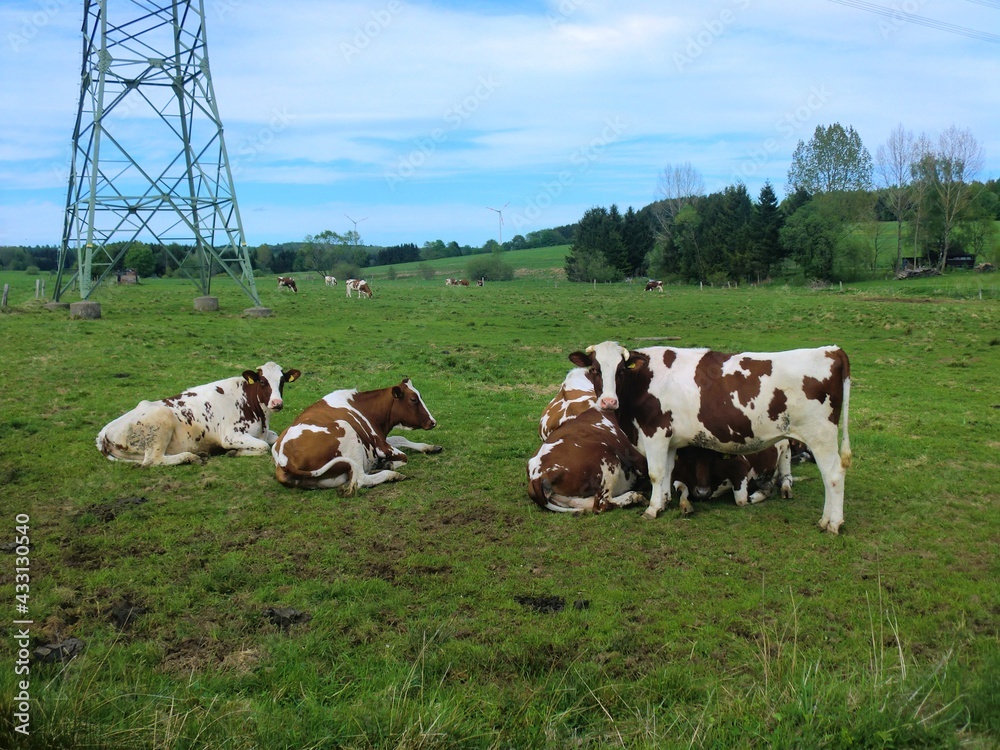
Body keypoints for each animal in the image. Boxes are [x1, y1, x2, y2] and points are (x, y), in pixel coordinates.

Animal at [96, 362, 301, 466]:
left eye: (282, 381)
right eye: (263, 381)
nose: (277, 403)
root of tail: (104, 432)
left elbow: (274, 438)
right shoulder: (230, 436)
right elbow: (263, 446)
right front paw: (235, 452)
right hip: (160, 422)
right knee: (153, 460)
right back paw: (191, 457)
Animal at [271, 378, 441, 491]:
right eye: (413, 399)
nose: (432, 421)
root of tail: (284, 459)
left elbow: (399, 438)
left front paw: (429, 447)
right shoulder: (381, 445)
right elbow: (403, 456)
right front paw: (388, 463)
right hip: (347, 431)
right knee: (361, 479)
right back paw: (391, 474)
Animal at [569, 341, 851, 533]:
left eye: (620, 371)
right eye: (595, 369)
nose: (608, 401)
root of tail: (832, 350)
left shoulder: (655, 433)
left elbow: (656, 473)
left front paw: (651, 509)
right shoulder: (669, 440)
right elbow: (669, 472)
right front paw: (664, 503)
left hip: (821, 435)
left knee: (833, 476)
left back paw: (833, 522)